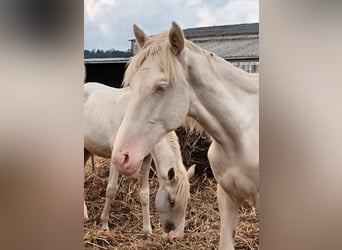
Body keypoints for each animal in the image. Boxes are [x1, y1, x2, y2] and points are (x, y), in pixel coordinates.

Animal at [83, 81, 195, 238]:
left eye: (187, 200)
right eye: (172, 201)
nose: (177, 236)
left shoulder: (146, 160)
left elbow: (144, 194)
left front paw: (147, 229)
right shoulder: (116, 159)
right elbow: (111, 190)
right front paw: (104, 224)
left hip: (86, 150)